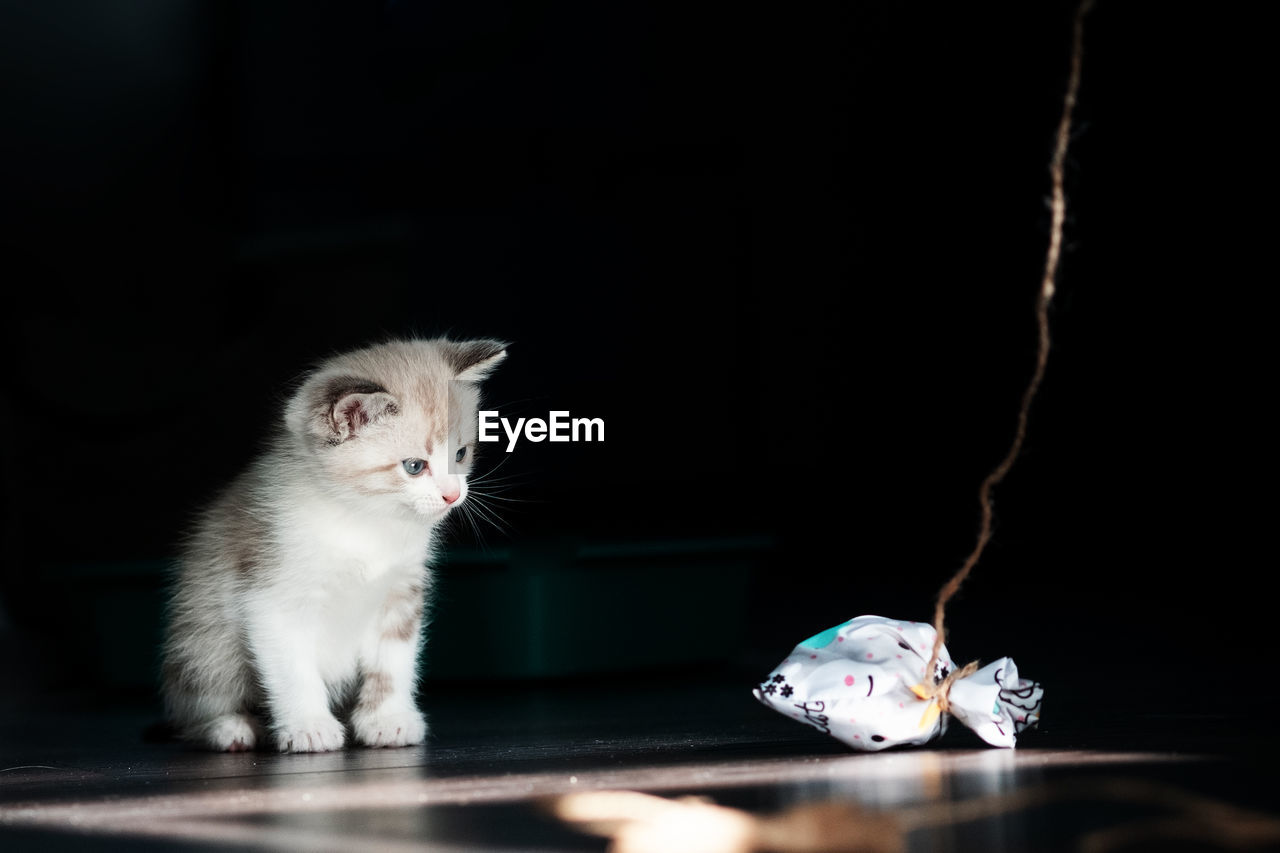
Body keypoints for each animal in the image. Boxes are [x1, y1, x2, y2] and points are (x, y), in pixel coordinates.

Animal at [165, 338, 509, 753]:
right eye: (414, 466)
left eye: (460, 454)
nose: (453, 495)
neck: (364, 521)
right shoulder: (271, 599)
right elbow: (294, 670)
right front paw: (308, 726)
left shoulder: (401, 595)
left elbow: (393, 663)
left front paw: (387, 720)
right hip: (205, 639)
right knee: (191, 706)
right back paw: (229, 727)